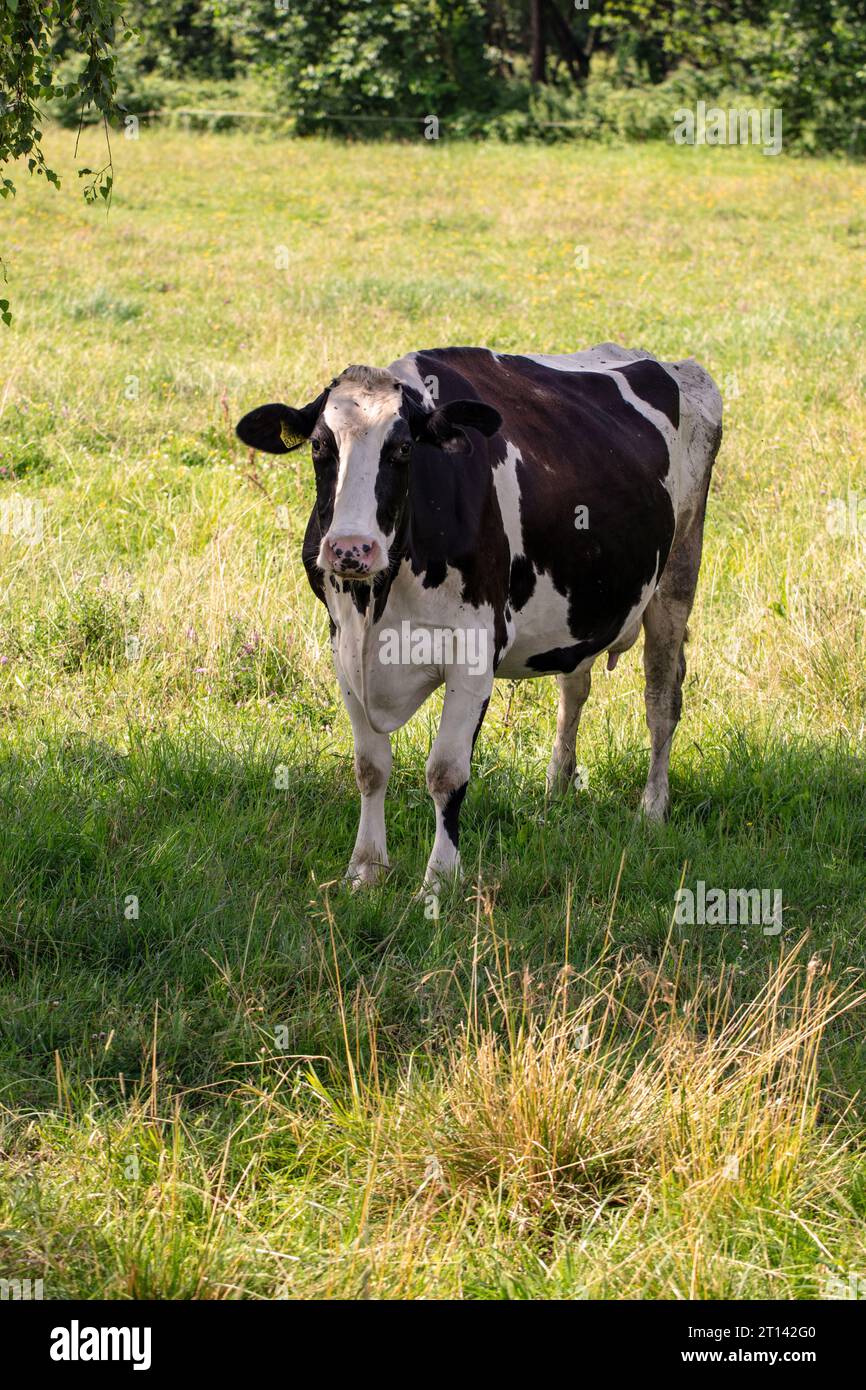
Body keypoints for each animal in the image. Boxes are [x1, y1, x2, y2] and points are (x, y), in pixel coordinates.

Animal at [237, 344, 722, 892]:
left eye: (403, 450)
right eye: (320, 446)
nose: (349, 549)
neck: (378, 601)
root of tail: (663, 361)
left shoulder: (473, 652)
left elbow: (446, 773)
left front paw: (439, 880)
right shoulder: (344, 648)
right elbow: (370, 766)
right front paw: (366, 870)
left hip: (677, 575)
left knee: (661, 700)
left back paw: (652, 808)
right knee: (574, 688)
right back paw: (557, 788)